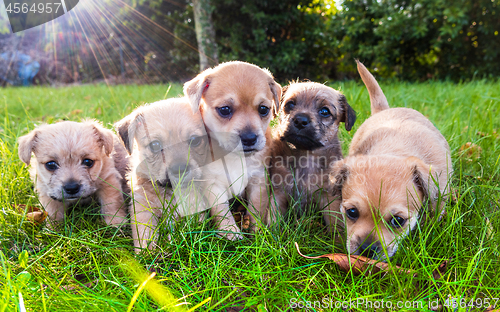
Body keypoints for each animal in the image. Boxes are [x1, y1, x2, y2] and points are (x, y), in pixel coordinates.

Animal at [114, 97, 246, 251]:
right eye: (155, 145)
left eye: (195, 140)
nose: (179, 170)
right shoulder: (142, 210)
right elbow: (145, 235)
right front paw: (148, 252)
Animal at [270, 82, 356, 229]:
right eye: (290, 105)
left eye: (325, 111)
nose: (300, 120)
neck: (305, 155)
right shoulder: (278, 192)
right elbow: (273, 218)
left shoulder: (330, 197)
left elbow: (335, 223)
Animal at [330, 60, 452, 258]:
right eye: (352, 212)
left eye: (398, 221)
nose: (367, 250)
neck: (393, 149)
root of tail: (385, 110)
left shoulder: (440, 191)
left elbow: (435, 210)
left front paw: (430, 227)